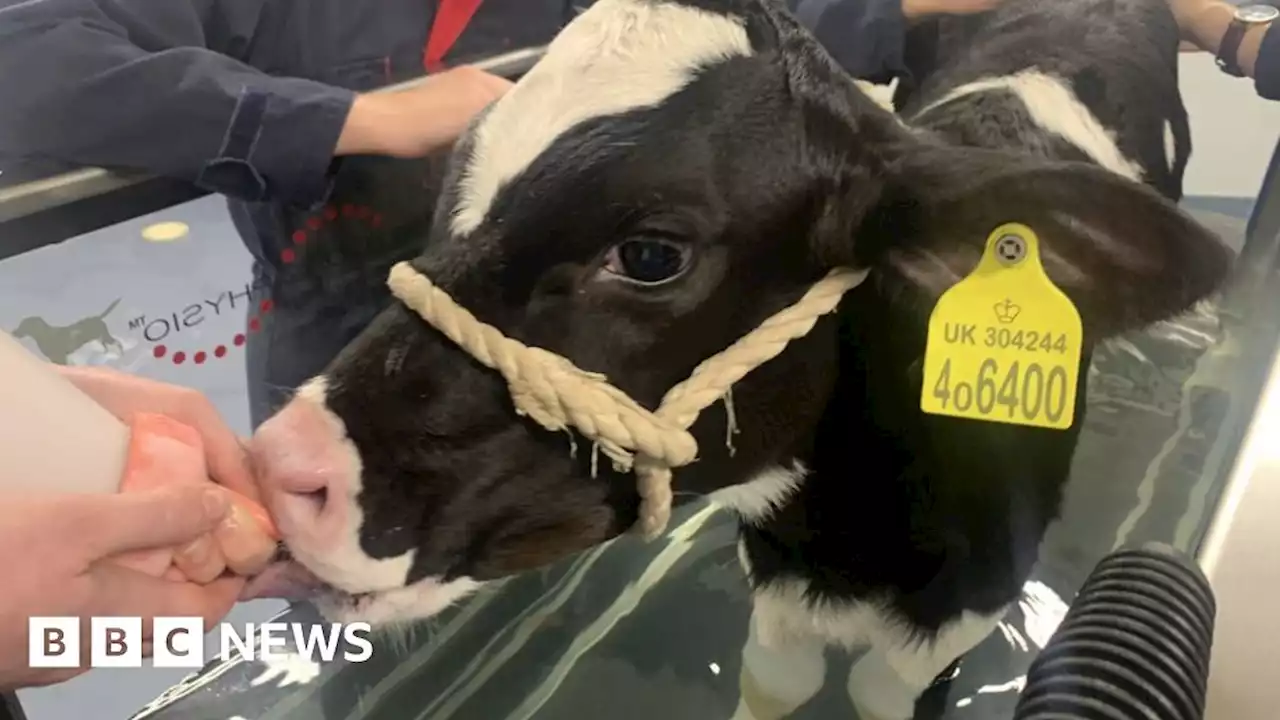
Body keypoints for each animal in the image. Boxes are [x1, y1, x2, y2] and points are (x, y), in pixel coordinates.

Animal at [241, 2, 1228, 712]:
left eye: (650, 254)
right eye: (453, 189)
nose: (288, 467)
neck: (851, 542)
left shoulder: (967, 606)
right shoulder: (779, 587)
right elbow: (776, 681)